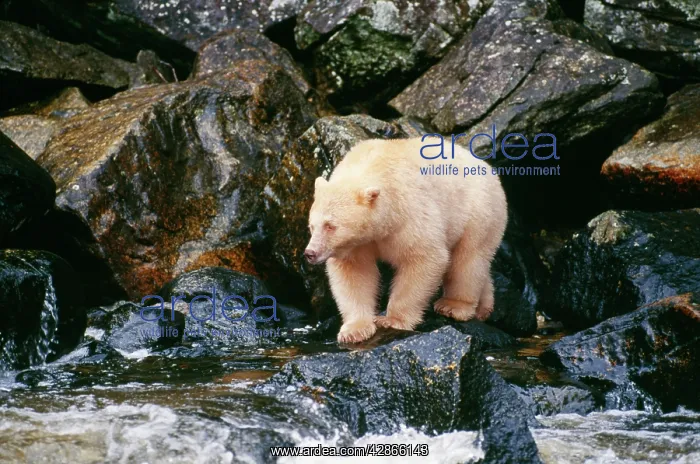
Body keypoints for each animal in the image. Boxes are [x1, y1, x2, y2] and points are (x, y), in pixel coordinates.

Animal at [304, 137, 508, 343]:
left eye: (330, 226)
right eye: (311, 226)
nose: (310, 253)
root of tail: (488, 168)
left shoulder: (409, 214)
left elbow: (424, 258)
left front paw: (392, 320)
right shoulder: (356, 244)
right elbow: (354, 272)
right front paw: (354, 330)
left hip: (479, 211)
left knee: (468, 258)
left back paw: (454, 306)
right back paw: (483, 307)